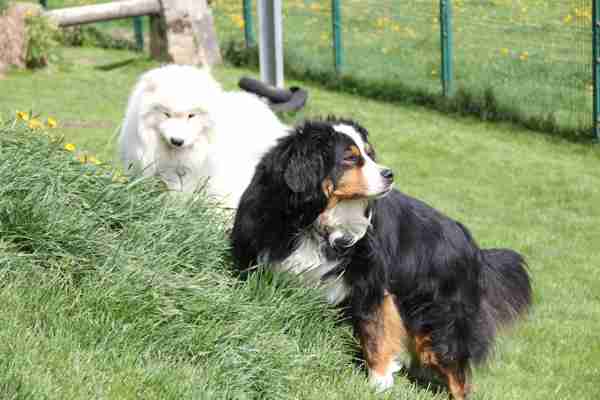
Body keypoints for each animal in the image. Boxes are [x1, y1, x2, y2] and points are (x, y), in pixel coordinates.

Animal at [230, 118, 532, 399]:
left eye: (370, 154)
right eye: (350, 158)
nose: (390, 174)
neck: (315, 219)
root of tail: (473, 247)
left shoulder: (370, 279)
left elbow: (375, 330)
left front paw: (379, 382)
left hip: (443, 321)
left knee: (457, 373)